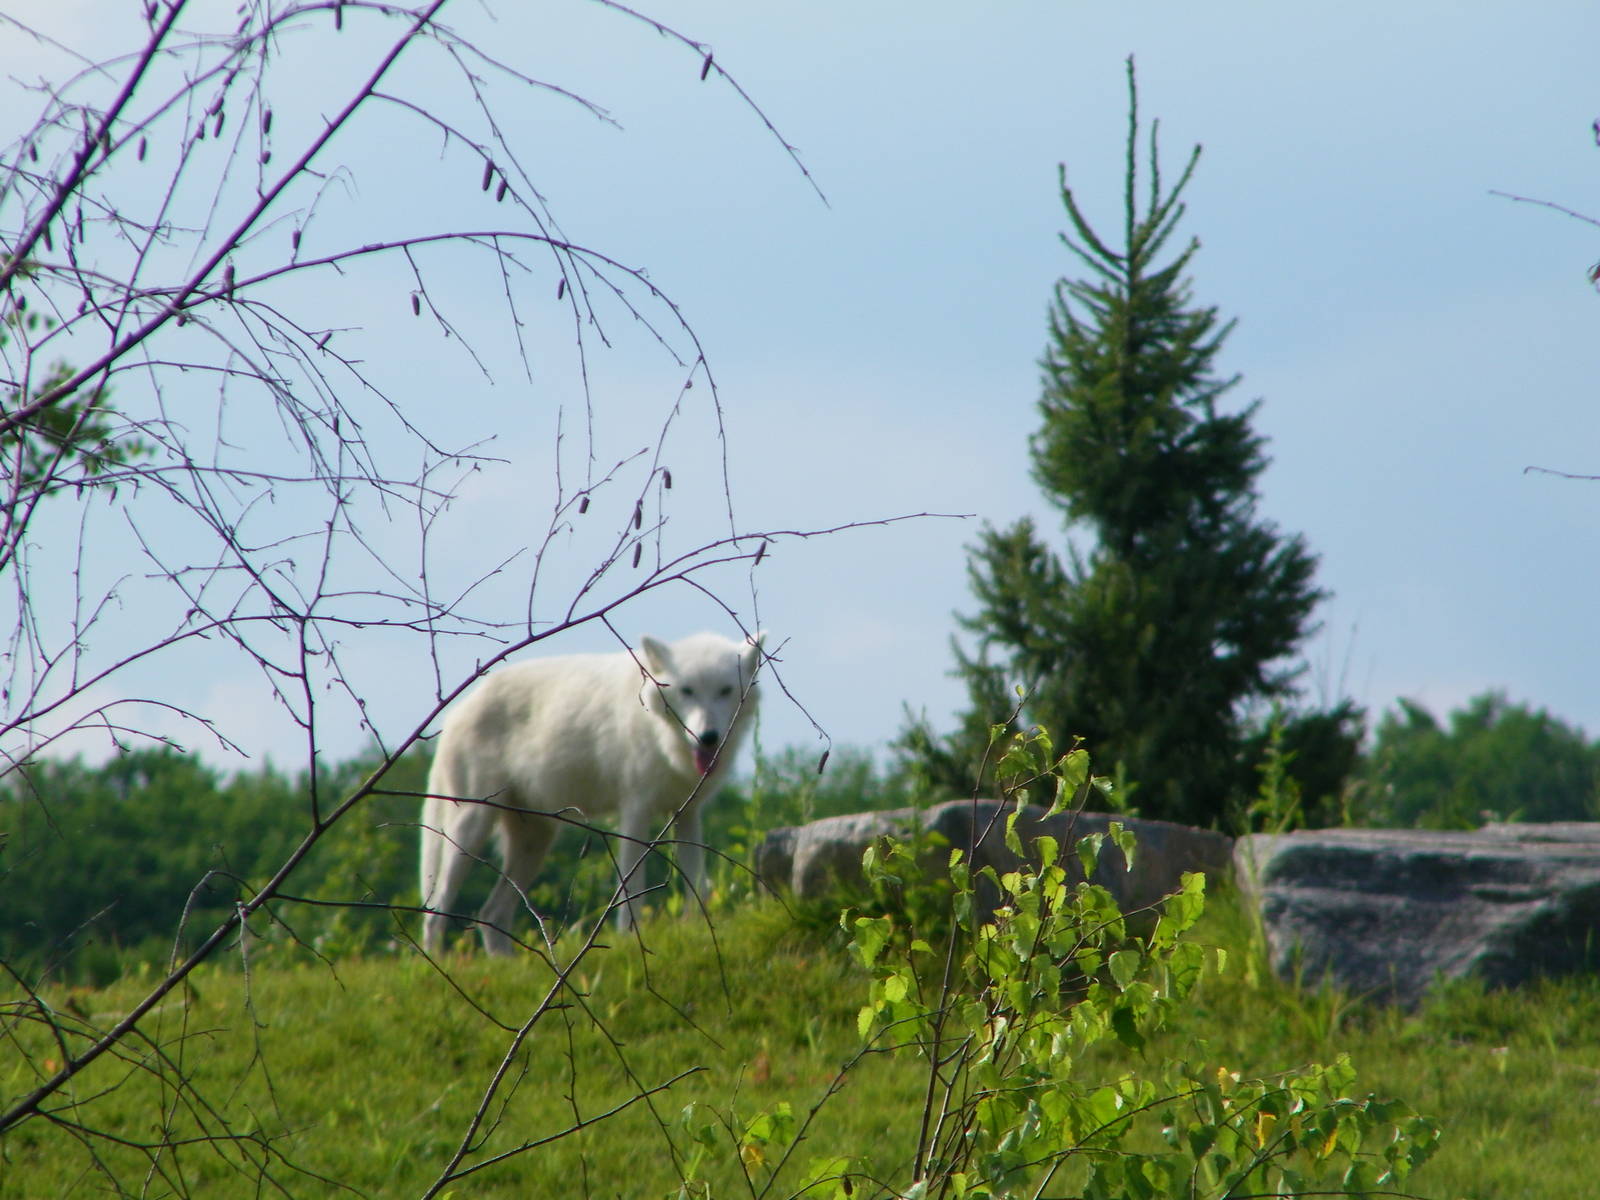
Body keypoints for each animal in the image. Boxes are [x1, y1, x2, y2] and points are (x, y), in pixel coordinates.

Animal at [419, 631, 764, 953]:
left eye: (725, 691)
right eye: (687, 691)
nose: (707, 737)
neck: (663, 740)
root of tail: (457, 711)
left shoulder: (688, 814)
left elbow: (697, 885)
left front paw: (702, 931)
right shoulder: (634, 813)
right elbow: (631, 889)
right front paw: (629, 940)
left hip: (535, 842)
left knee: (490, 916)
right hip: (471, 831)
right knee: (436, 913)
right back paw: (439, 963)